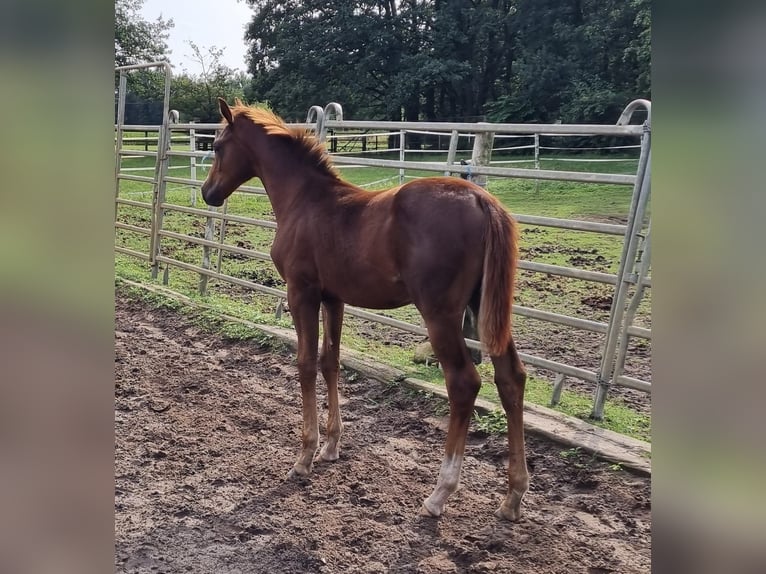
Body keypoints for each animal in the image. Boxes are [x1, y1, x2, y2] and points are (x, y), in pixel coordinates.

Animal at [201, 99, 532, 520]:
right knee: (511, 378)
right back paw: (513, 496)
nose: (208, 192)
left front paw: (304, 457)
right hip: (484, 308)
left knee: (464, 383)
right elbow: (330, 361)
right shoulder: (334, 298)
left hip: (440, 313)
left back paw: (439, 494)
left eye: (216, 146)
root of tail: (482, 200)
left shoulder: (301, 293)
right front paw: (330, 447)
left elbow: (305, 364)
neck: (304, 200)